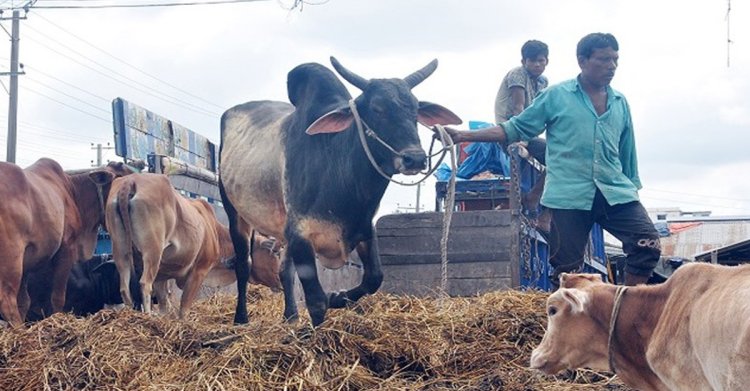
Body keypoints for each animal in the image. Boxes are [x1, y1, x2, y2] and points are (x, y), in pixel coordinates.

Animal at [0, 158, 137, 326]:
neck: (73, 191)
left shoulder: (28, 262)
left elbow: (24, 301)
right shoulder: (67, 248)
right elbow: (58, 297)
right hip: (11, 259)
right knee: (6, 301)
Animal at [103, 174, 282, 318]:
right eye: (275, 252)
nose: (280, 282)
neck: (214, 232)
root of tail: (131, 180)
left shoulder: (162, 276)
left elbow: (164, 304)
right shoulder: (199, 270)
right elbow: (184, 307)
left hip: (121, 252)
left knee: (125, 288)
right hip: (152, 252)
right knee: (144, 284)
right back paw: (147, 315)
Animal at [219, 57, 464, 328]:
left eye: (415, 110)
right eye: (377, 109)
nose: (415, 158)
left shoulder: (364, 229)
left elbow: (374, 278)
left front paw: (337, 297)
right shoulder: (300, 234)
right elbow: (316, 301)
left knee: (284, 271)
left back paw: (291, 316)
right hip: (235, 213)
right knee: (243, 264)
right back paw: (241, 319)